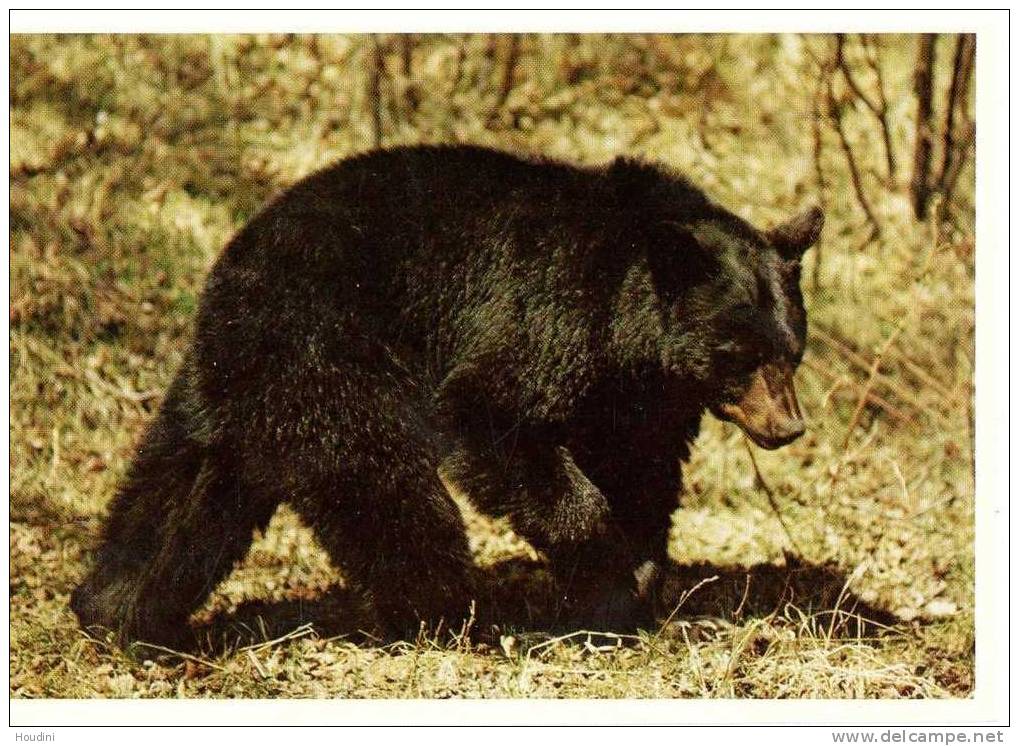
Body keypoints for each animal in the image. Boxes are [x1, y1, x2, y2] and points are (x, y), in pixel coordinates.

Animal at [69, 145, 819, 648]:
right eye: (741, 355)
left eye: (791, 352)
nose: (788, 426)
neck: (629, 322)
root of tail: (233, 263)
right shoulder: (551, 313)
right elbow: (493, 414)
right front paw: (606, 567)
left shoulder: (638, 394)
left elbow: (641, 468)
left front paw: (633, 585)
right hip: (328, 353)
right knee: (386, 488)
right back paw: (448, 614)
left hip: (228, 385)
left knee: (181, 489)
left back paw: (117, 609)